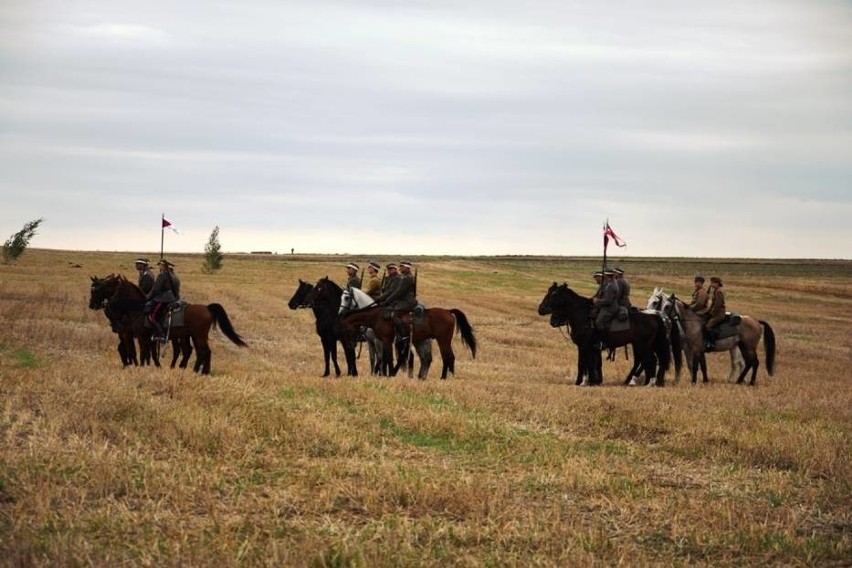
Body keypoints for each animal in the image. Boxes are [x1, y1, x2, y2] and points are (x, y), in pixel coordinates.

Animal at [88, 274, 245, 374]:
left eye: (103, 287)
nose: (92, 305)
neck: (137, 309)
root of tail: (207, 307)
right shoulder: (142, 337)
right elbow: (144, 352)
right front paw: (148, 366)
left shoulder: (138, 336)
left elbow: (139, 352)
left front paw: (139, 367)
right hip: (192, 336)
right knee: (198, 351)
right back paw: (199, 370)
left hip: (197, 336)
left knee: (201, 351)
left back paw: (195, 370)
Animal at [340, 300, 476, 380]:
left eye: (346, 330)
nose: (350, 344)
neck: (377, 317)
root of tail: (448, 311)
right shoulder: (380, 341)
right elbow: (381, 358)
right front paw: (385, 373)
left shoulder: (386, 340)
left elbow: (388, 357)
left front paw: (388, 374)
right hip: (423, 341)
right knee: (430, 358)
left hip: (442, 340)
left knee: (447, 357)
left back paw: (444, 377)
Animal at [540, 282, 672, 386]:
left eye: (554, 294)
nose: (540, 309)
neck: (583, 316)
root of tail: (654, 317)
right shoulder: (586, 347)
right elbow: (589, 363)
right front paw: (589, 381)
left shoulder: (586, 346)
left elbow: (585, 363)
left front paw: (584, 382)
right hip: (644, 346)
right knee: (648, 361)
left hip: (643, 345)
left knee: (651, 360)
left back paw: (649, 383)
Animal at [648, 288, 776, 386]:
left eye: (666, 305)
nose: (661, 316)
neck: (693, 323)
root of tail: (756, 321)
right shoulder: (697, 349)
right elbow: (702, 366)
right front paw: (704, 380)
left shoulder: (692, 349)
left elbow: (693, 365)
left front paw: (691, 381)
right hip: (742, 347)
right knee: (746, 363)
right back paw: (739, 380)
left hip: (749, 347)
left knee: (753, 362)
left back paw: (750, 382)